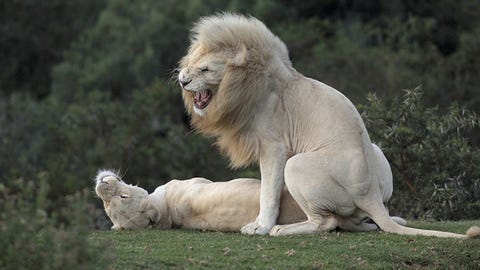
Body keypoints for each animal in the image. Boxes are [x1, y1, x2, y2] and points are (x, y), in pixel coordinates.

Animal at [178, 13, 478, 238]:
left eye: (205, 70)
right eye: (190, 64)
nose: (182, 80)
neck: (245, 83)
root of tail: (369, 192)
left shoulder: (275, 147)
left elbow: (268, 192)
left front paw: (260, 227)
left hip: (296, 164)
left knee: (326, 223)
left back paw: (281, 229)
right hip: (376, 152)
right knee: (359, 222)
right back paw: (389, 221)